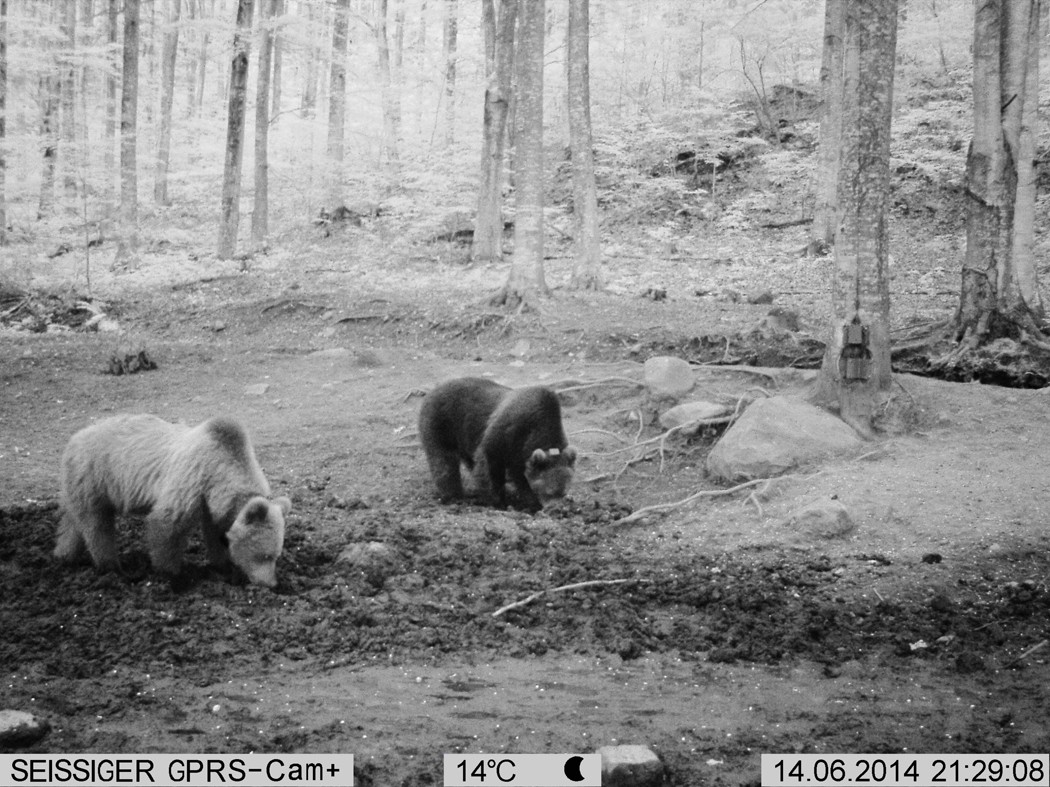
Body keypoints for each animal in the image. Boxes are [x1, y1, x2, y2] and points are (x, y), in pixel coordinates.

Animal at [54, 414, 291, 588]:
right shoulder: (192, 479)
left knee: (73, 521)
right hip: (95, 475)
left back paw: (64, 554)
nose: (272, 583)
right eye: (265, 556)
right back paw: (111, 566)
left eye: (276, 555)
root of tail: (76, 436)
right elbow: (168, 524)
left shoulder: (211, 502)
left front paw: (223, 566)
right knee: (96, 524)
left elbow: (214, 533)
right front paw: (172, 573)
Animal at [418, 377, 577, 510]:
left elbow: (520, 475)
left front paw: (529, 501)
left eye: (563, 492)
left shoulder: (520, 452)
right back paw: (454, 496)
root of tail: (434, 389)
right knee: (443, 461)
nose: (555, 508)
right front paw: (498, 501)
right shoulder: (507, 431)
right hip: (442, 423)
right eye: (549, 492)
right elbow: (489, 464)